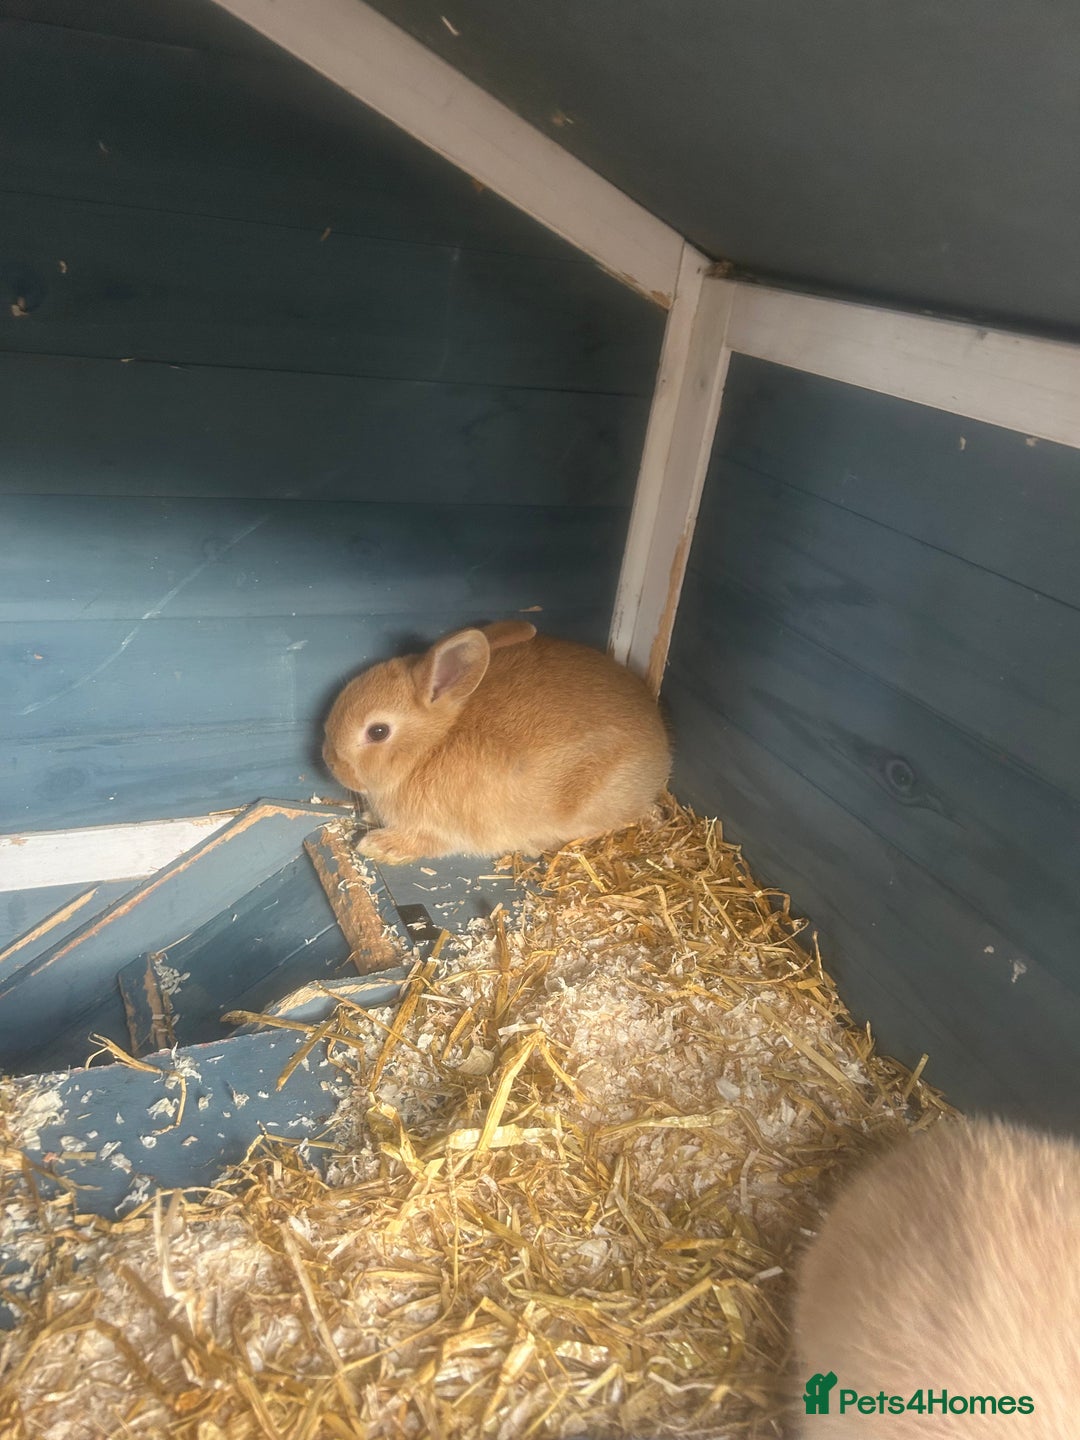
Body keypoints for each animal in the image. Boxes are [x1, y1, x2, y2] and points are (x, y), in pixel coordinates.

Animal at [322, 620, 671, 864]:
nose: (329, 761)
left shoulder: (437, 829)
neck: (429, 747)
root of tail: (662, 753)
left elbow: (420, 842)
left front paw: (377, 846)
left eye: (378, 732)